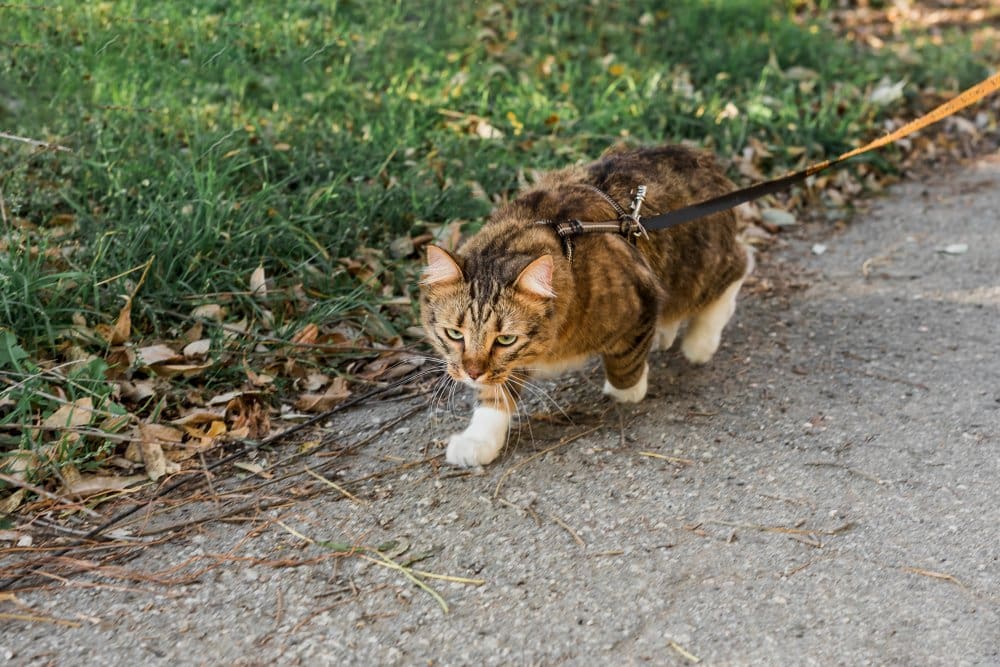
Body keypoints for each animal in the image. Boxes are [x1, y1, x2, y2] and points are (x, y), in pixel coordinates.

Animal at [418, 145, 752, 470]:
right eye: (454, 334)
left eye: (505, 339)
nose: (471, 373)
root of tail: (704, 159)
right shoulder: (507, 365)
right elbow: (495, 394)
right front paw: (479, 439)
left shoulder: (640, 296)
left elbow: (626, 365)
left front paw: (628, 390)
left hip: (699, 269)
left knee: (741, 264)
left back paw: (701, 340)